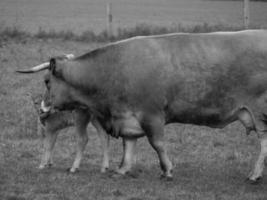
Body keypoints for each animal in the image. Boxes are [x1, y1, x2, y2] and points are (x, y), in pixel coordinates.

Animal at [16, 29, 267, 183]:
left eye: (46, 81)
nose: (42, 107)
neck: (111, 71)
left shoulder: (152, 115)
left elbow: (157, 144)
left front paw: (167, 171)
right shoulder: (126, 117)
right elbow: (128, 145)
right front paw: (122, 169)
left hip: (260, 113)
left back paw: (254, 175)